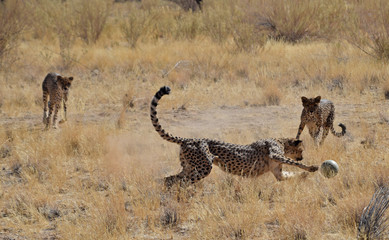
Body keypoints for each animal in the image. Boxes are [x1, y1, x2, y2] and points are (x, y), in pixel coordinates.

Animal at [150, 86, 316, 188]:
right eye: (301, 150)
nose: (301, 156)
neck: (281, 141)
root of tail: (189, 139)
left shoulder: (277, 172)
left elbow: (288, 175)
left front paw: (303, 175)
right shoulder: (275, 154)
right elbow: (293, 163)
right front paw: (310, 167)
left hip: (190, 166)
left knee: (169, 179)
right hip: (203, 167)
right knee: (180, 182)